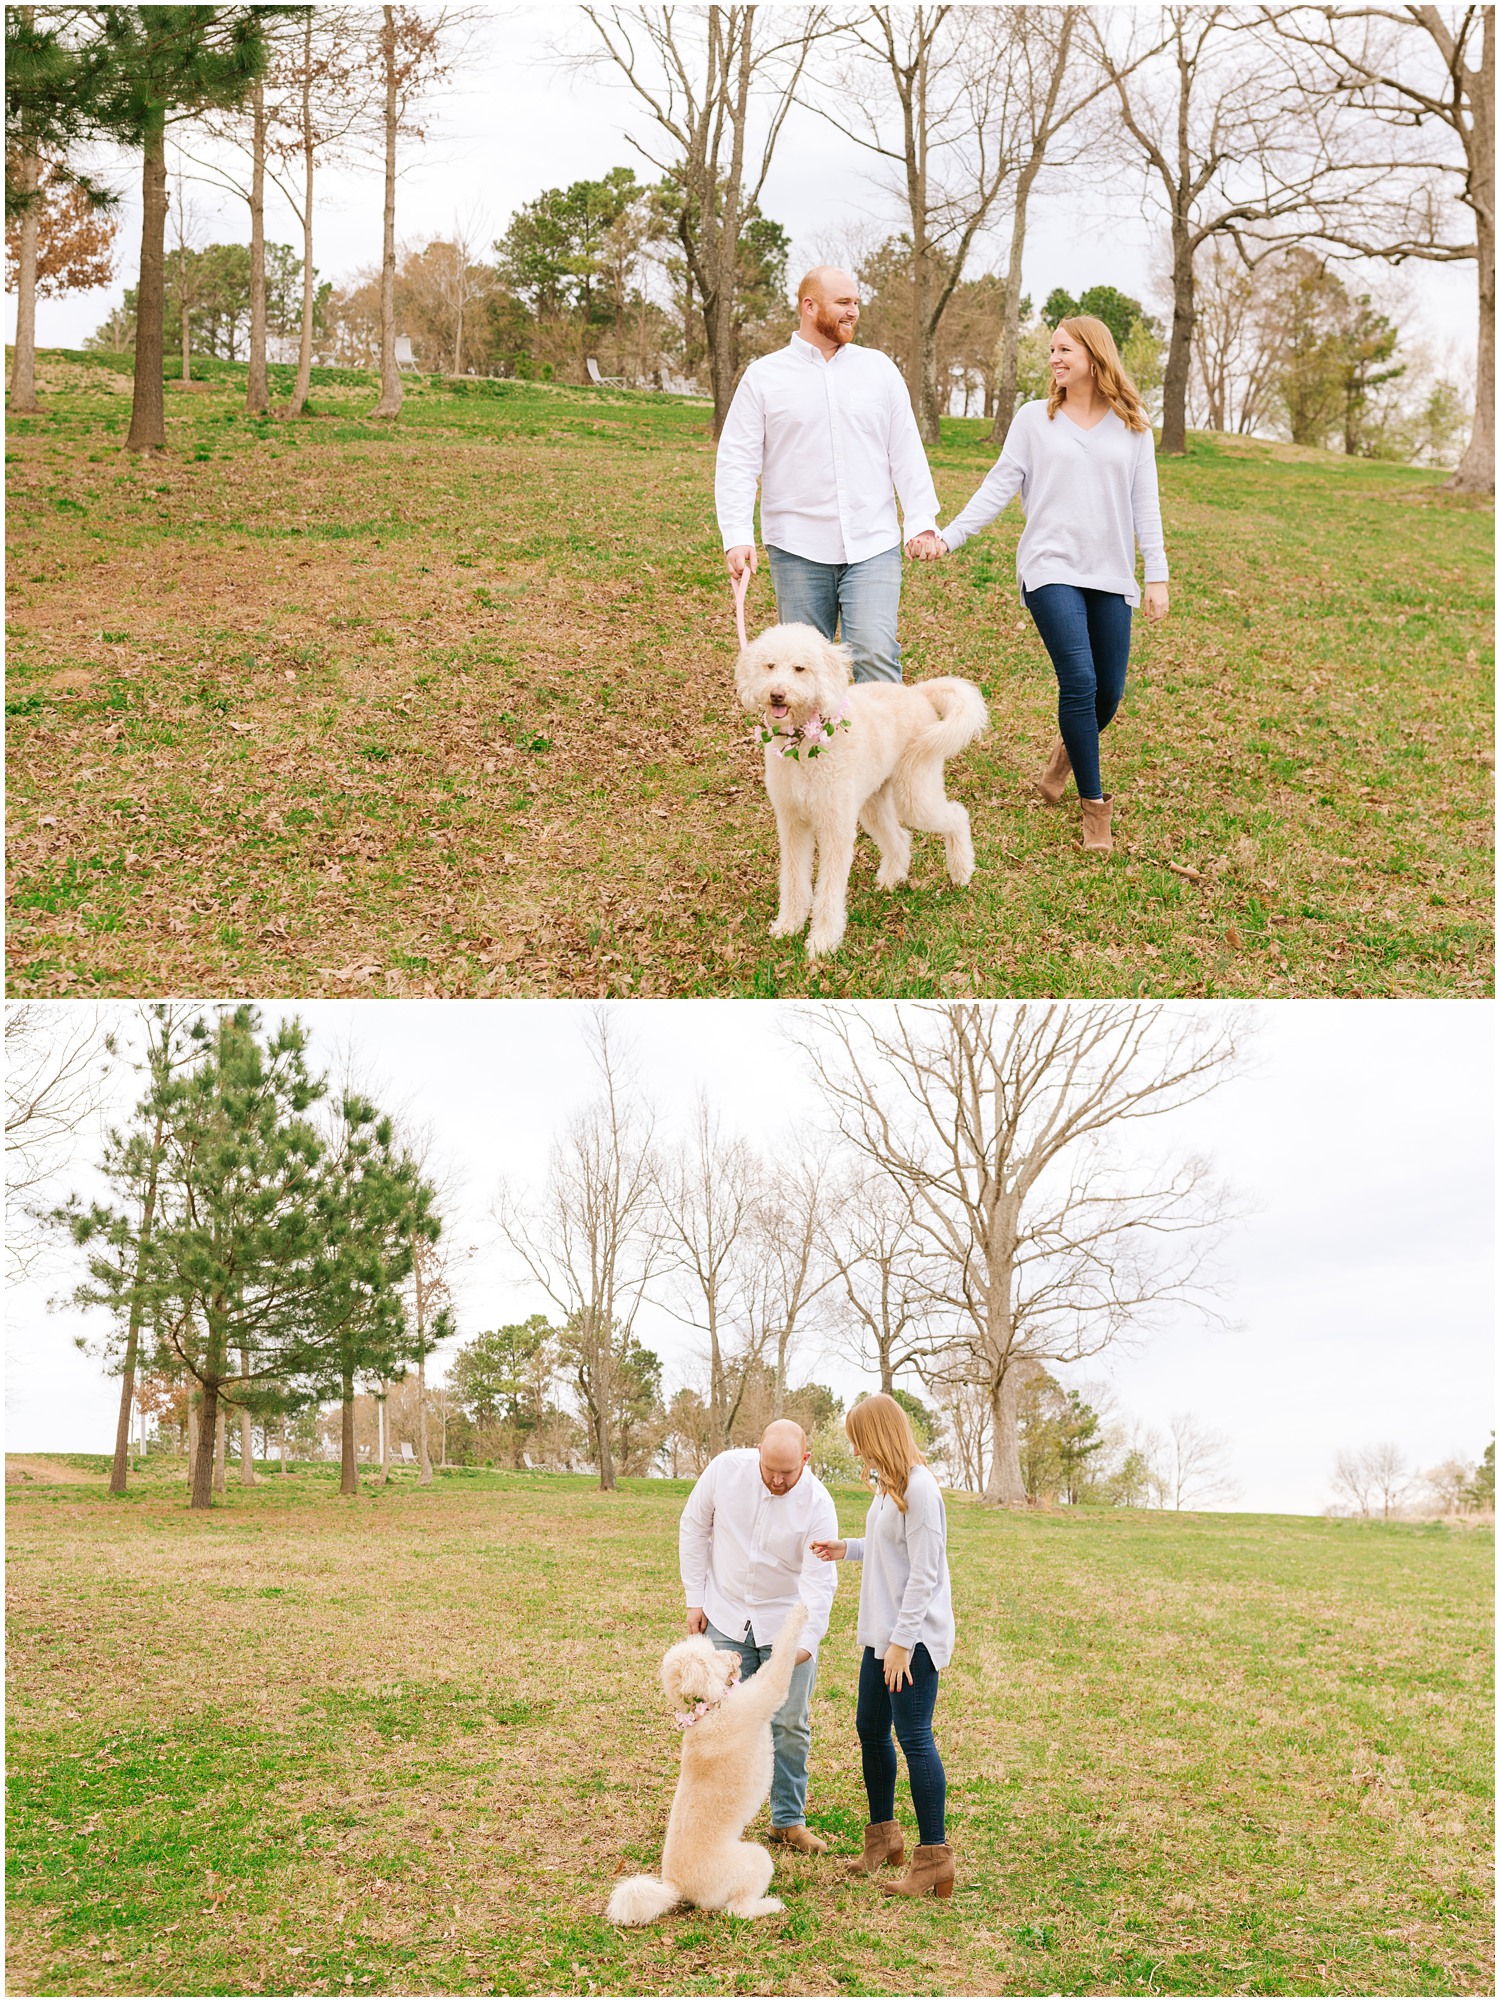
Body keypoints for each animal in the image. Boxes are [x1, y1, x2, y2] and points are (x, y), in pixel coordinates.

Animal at [600, 1593, 809, 1921]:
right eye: (714, 1659)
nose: (736, 1657)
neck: (707, 1710)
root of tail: (676, 1888)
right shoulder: (766, 1690)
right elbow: (782, 1653)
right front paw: (799, 1611)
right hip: (753, 1860)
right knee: (737, 1910)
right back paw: (769, 1906)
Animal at [732, 624, 989, 960]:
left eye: (800, 668)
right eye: (770, 665)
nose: (777, 693)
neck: (804, 744)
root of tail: (918, 693)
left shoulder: (835, 828)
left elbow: (829, 890)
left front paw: (823, 941)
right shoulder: (792, 824)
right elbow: (793, 879)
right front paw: (788, 925)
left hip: (914, 792)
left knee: (957, 815)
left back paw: (961, 872)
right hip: (873, 803)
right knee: (900, 837)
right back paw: (892, 879)